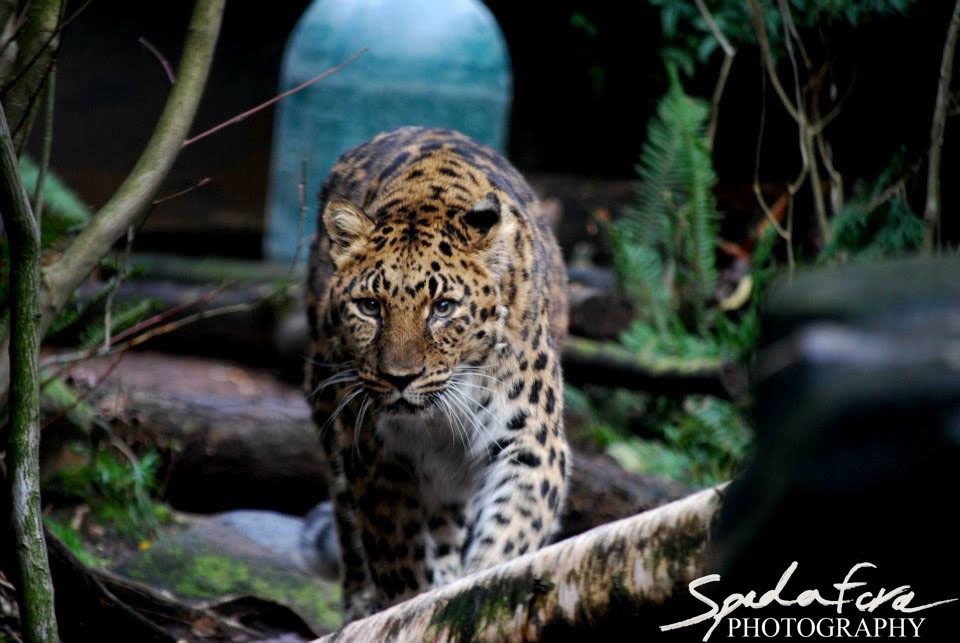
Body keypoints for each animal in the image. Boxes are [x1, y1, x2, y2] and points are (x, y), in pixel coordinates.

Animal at [304, 126, 570, 623]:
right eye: (370, 306)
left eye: (443, 307)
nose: (399, 378)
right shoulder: (375, 453)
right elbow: (396, 556)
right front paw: (407, 604)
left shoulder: (533, 441)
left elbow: (513, 527)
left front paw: (480, 587)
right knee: (348, 525)